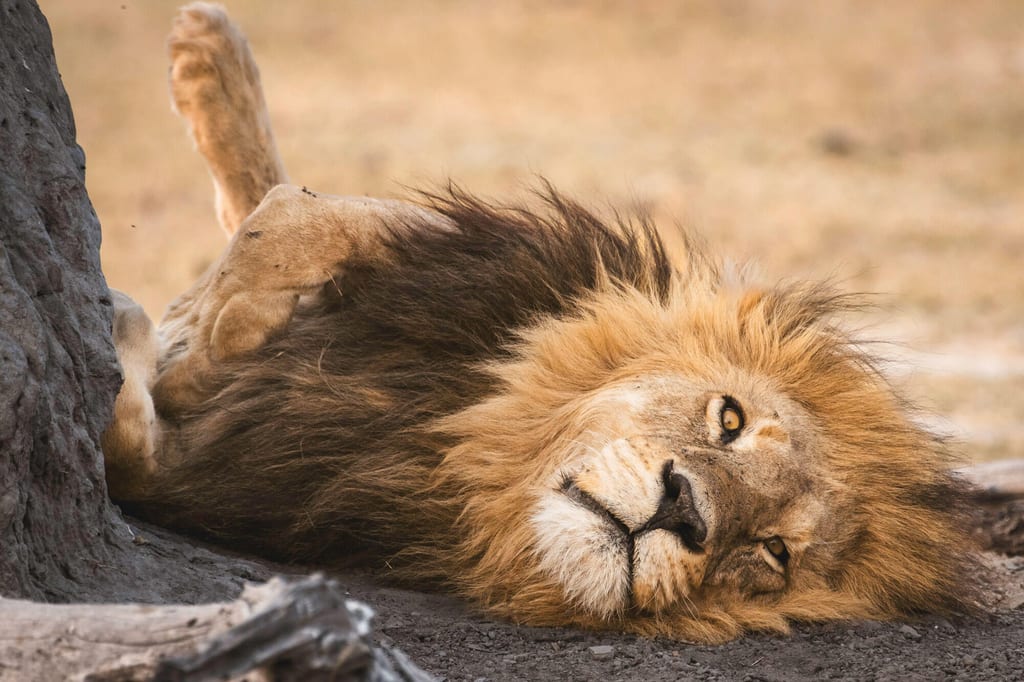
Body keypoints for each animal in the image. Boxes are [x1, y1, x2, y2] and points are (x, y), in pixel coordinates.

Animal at [102, 2, 979, 644]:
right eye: (729, 420)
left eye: (773, 552)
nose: (684, 511)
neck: (449, 440)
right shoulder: (496, 266)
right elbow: (300, 216)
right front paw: (200, 337)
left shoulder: (227, 486)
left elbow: (130, 438)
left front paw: (147, 341)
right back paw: (207, 47)